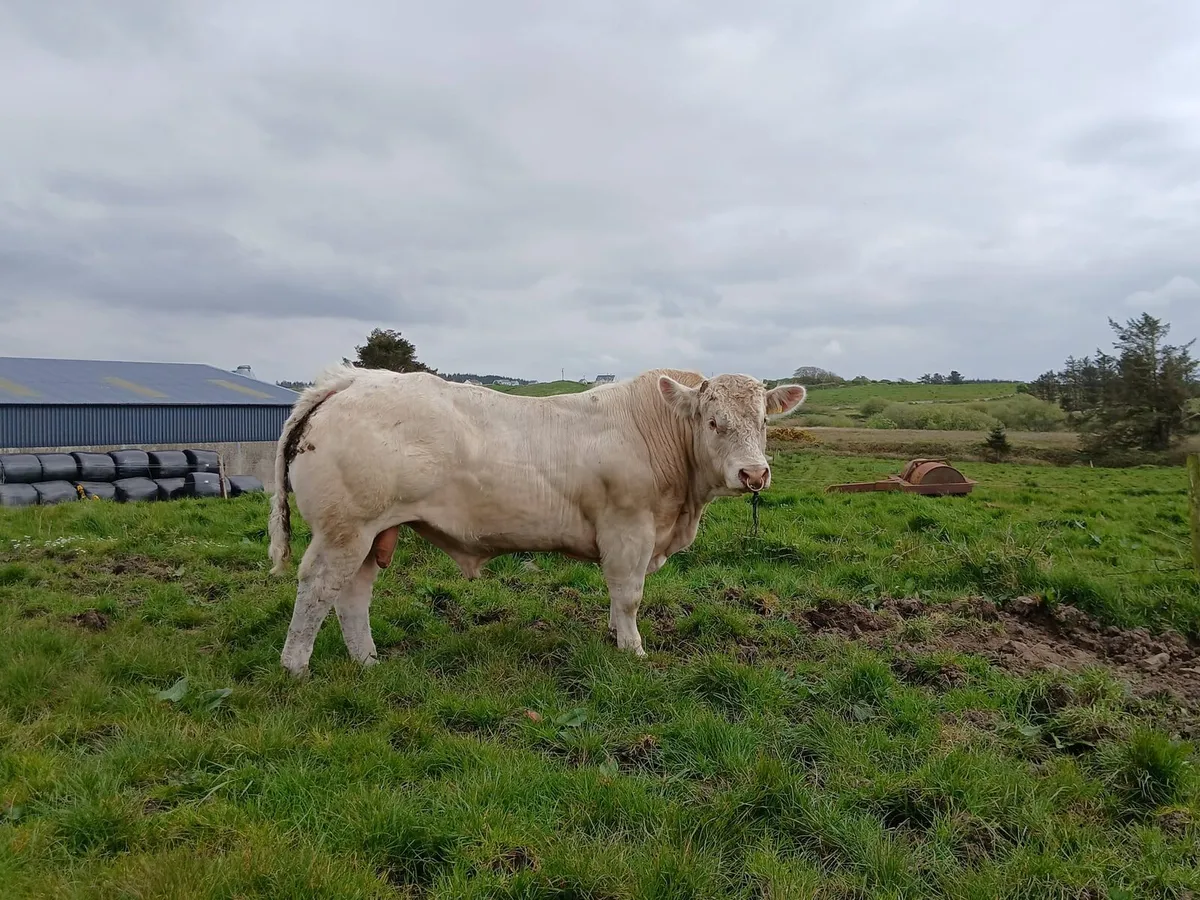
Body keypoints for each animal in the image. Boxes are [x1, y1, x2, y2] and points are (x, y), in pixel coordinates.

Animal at [267, 365, 806, 677]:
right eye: (714, 422)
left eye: (763, 422)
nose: (754, 473)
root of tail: (353, 380)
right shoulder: (628, 529)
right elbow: (629, 596)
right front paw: (633, 650)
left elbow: (617, 599)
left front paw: (615, 637)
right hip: (346, 529)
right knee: (318, 589)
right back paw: (296, 668)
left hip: (371, 530)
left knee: (352, 595)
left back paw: (367, 661)